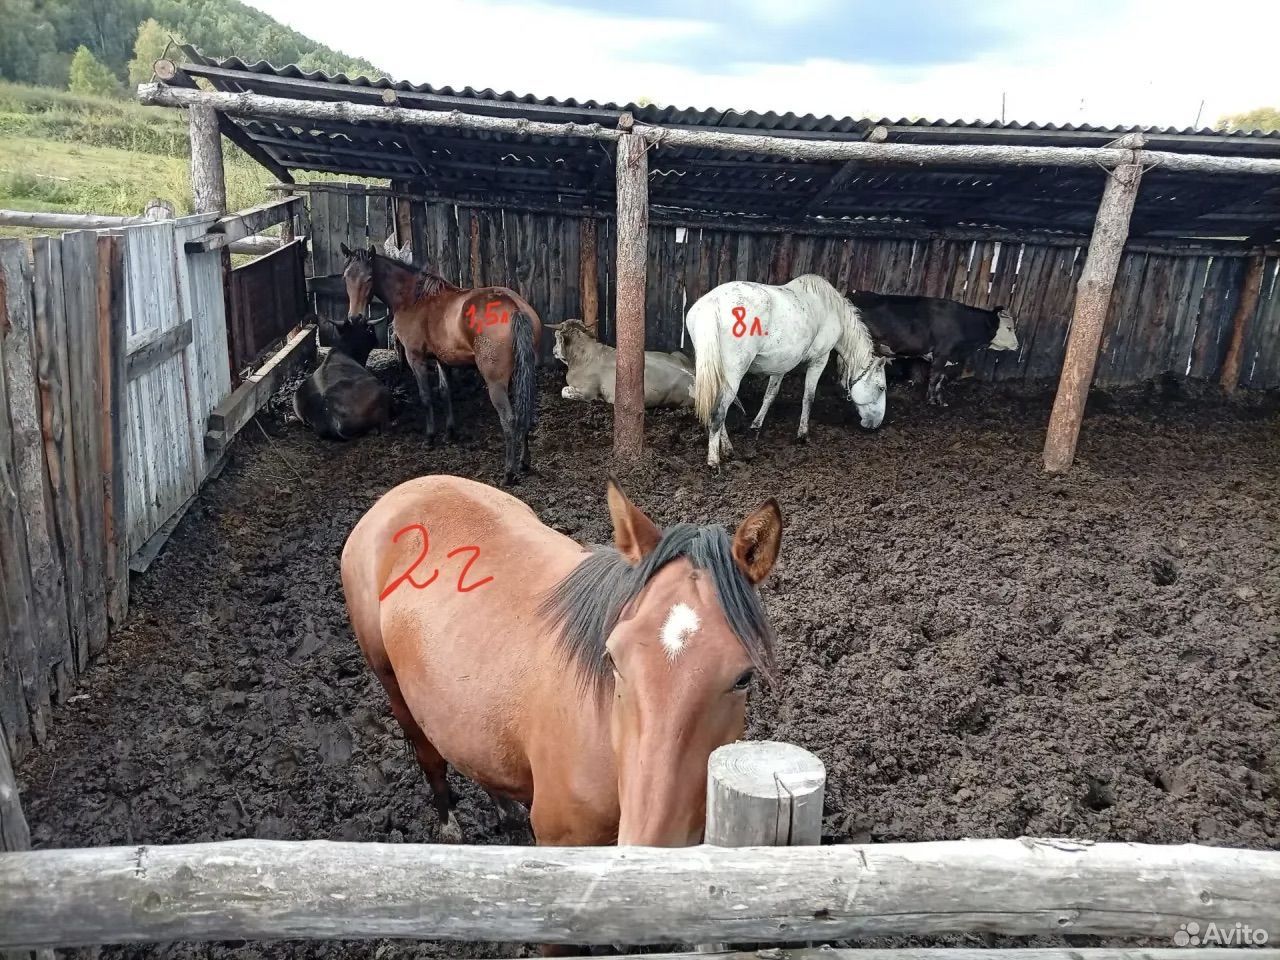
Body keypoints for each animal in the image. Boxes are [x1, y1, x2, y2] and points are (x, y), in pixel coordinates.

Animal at [340, 243, 541, 485]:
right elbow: (446, 393)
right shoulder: (442, 360)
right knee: (523, 412)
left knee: (509, 419)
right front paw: (449, 433)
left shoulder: (415, 358)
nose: (355, 318)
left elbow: (426, 397)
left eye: (369, 278)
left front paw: (429, 438)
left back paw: (508, 473)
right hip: (522, 375)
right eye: (346, 277)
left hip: (496, 383)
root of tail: (515, 308)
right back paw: (523, 462)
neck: (413, 298)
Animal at [685, 274, 889, 469]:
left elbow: (770, 395)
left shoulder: (780, 365)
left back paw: (727, 449)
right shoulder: (819, 360)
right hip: (733, 374)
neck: (830, 309)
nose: (876, 424)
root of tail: (712, 304)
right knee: (718, 412)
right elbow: (808, 397)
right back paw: (714, 461)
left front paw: (756, 424)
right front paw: (803, 434)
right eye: (881, 388)